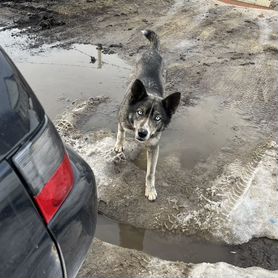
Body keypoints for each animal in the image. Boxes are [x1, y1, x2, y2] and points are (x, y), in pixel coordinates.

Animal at [114, 29, 181, 201]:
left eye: (157, 118)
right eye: (140, 112)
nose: (142, 133)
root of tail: (153, 51)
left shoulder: (154, 147)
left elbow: (150, 172)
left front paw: (150, 189)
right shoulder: (122, 119)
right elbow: (120, 132)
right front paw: (119, 144)